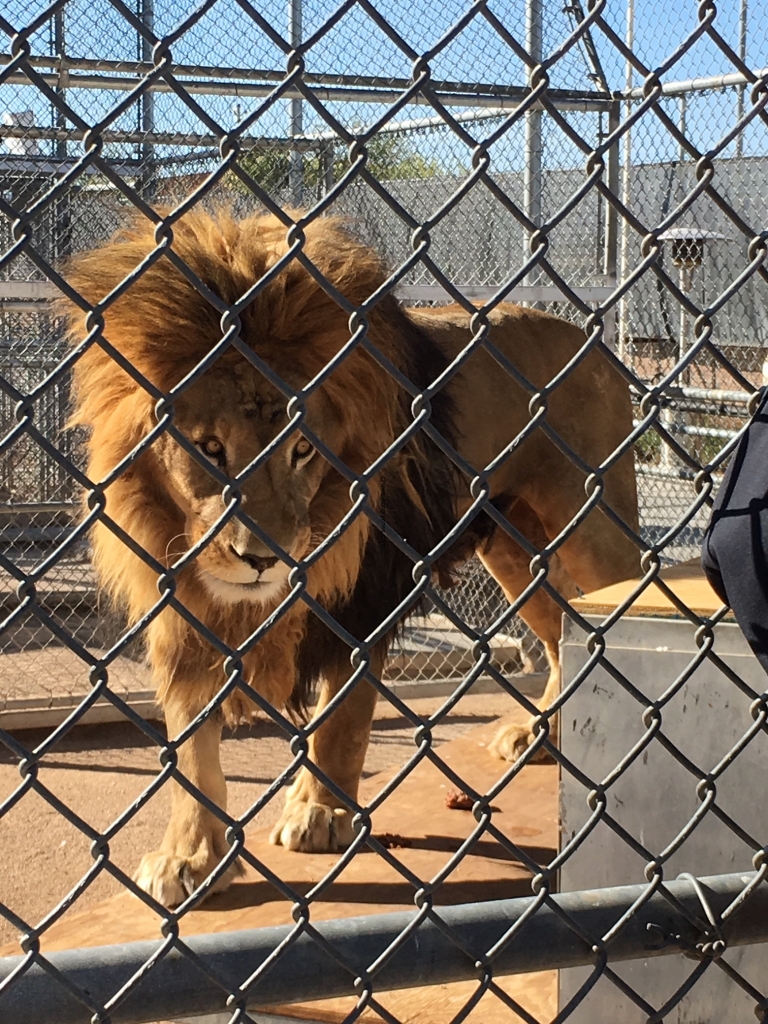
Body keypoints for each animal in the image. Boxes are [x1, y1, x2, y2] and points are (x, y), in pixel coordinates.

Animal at [60, 207, 638, 905]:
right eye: (209, 448)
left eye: (302, 450)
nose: (263, 559)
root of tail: (592, 341)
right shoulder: (183, 614)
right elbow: (191, 751)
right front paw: (189, 858)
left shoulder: (365, 601)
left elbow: (342, 719)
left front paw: (320, 813)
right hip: (514, 548)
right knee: (560, 635)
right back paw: (539, 738)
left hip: (593, 534)